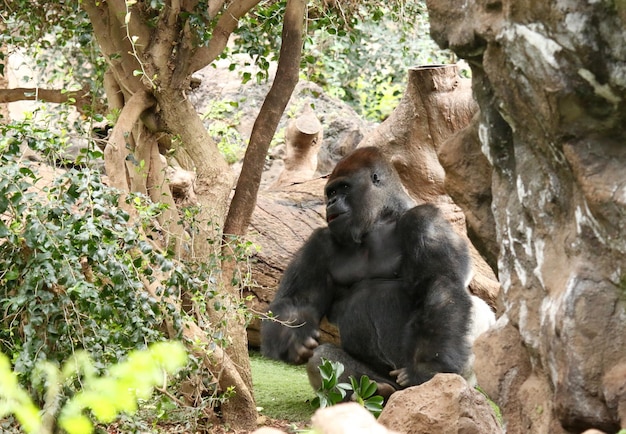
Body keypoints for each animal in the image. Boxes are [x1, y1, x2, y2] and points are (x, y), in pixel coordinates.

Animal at [258, 146, 492, 396]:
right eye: (331, 192)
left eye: (344, 188)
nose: (331, 202)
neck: (379, 220)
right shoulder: (320, 243)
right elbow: (300, 299)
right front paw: (290, 338)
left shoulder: (426, 221)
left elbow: (441, 285)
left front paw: (428, 367)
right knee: (322, 358)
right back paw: (376, 390)